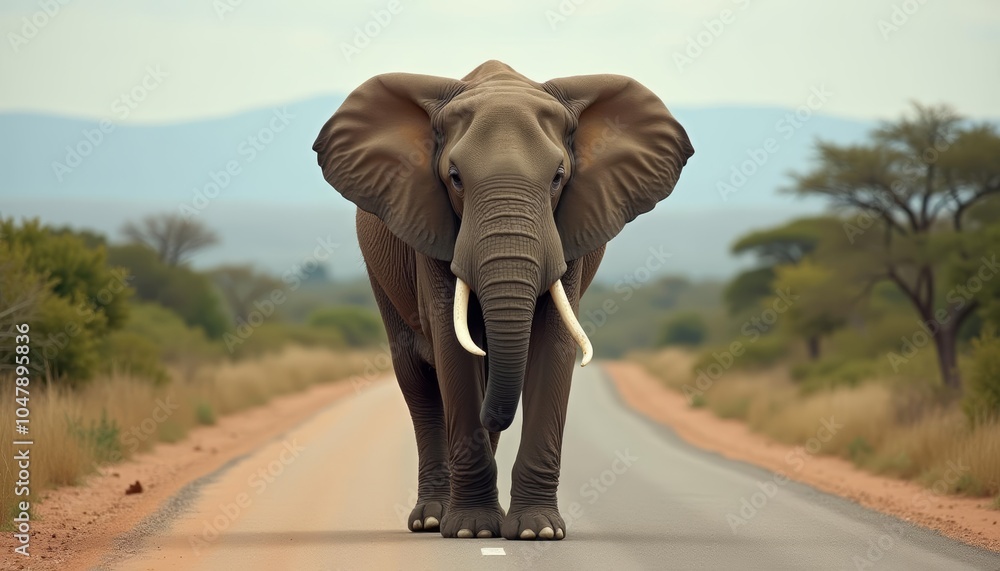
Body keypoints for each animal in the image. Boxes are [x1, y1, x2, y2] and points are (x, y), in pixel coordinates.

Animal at [313, 60, 692, 540]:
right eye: (455, 178)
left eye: (558, 177)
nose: (493, 418)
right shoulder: (430, 224)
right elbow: (452, 346)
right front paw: (472, 531)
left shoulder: (571, 229)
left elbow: (553, 344)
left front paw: (537, 531)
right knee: (417, 380)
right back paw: (432, 518)